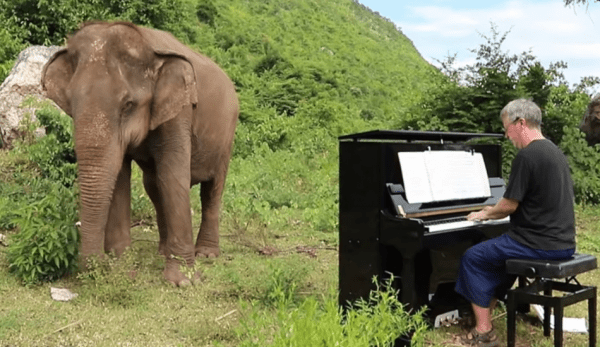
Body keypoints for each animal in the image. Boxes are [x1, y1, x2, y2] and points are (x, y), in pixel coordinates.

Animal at [40, 22, 239, 288]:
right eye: (71, 103)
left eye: (128, 105)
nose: (101, 264)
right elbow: (121, 176)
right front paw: (122, 267)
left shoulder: (180, 111)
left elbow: (174, 176)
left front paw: (183, 282)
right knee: (154, 186)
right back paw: (163, 252)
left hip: (227, 136)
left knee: (212, 189)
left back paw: (206, 254)